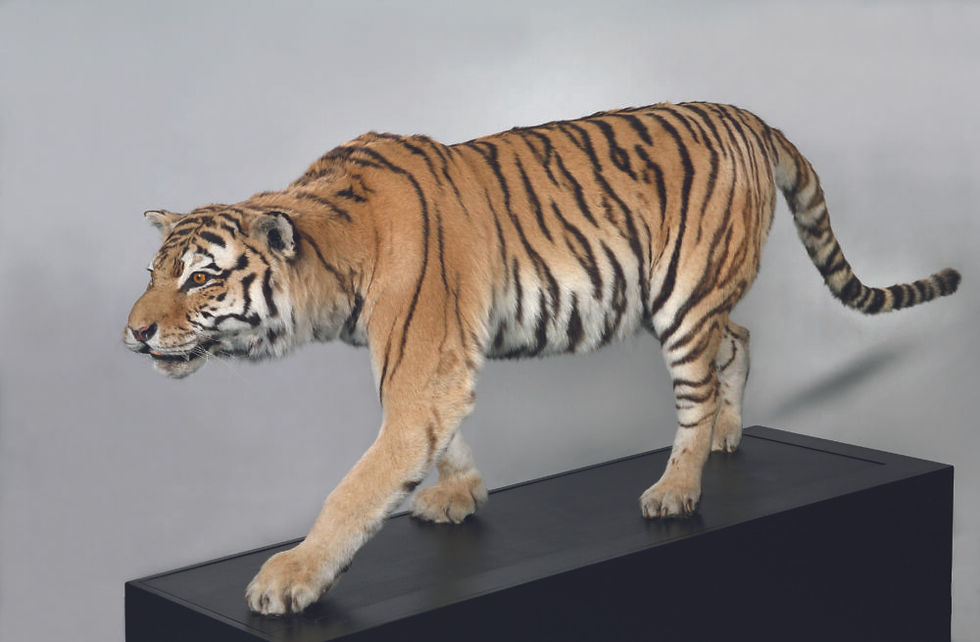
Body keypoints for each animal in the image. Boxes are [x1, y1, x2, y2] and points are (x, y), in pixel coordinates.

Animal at [124, 101, 960, 615]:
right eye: (154, 272)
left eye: (200, 278)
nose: (133, 333)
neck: (333, 268)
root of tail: (753, 118)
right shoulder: (435, 370)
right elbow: (444, 439)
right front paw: (461, 495)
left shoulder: (418, 373)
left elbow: (356, 489)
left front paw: (291, 577)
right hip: (703, 304)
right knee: (742, 337)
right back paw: (729, 434)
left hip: (684, 298)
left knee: (696, 390)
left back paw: (678, 486)